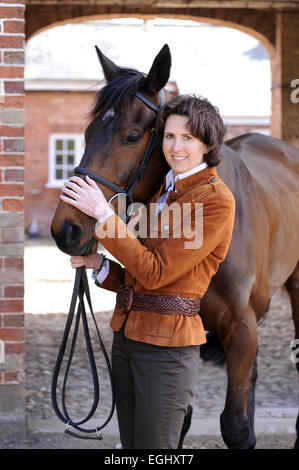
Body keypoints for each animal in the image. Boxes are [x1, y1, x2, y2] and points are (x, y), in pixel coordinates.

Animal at [51, 46, 299, 450]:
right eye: (87, 133)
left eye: (132, 137)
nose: (65, 230)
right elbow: (178, 419)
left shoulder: (241, 326)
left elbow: (234, 425)